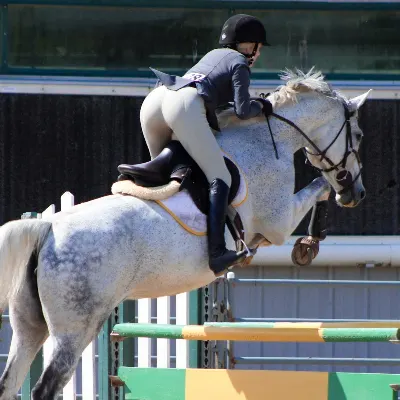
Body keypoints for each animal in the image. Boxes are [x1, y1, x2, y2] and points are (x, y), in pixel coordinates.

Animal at [0, 69, 370, 400]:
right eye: (359, 135)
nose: (357, 193)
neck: (269, 138)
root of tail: (47, 228)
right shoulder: (279, 222)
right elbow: (319, 185)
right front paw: (311, 240)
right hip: (75, 327)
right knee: (45, 386)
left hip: (30, 327)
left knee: (9, 381)